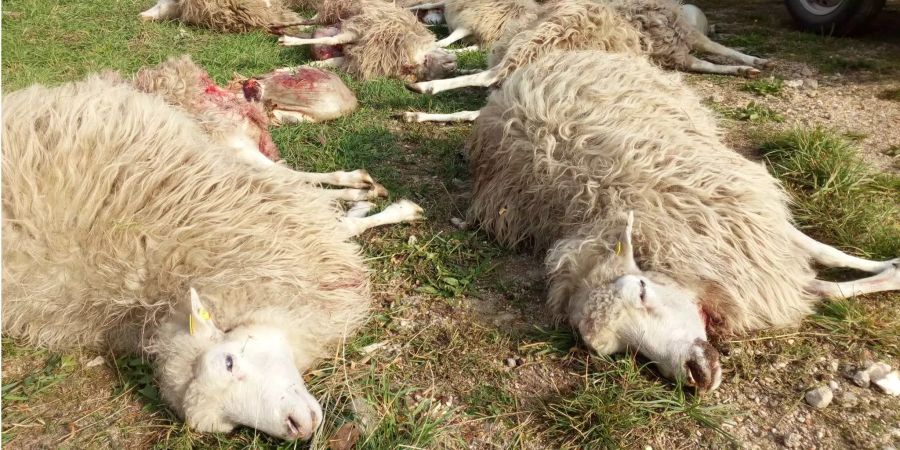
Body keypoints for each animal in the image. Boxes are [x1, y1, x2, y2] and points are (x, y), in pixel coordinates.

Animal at [1, 74, 424, 440]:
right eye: (230, 425)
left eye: (229, 361)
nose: (297, 427)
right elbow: (332, 221)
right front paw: (365, 208)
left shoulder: (263, 214)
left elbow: (328, 213)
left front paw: (387, 207)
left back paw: (358, 186)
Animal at [276, 0, 458, 82]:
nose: (453, 65)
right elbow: (331, 40)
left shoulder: (355, 57)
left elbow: (320, 64)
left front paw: (285, 69)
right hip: (343, 18)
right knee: (316, 26)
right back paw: (281, 31)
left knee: (316, 32)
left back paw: (280, 32)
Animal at [464, 48, 900, 386]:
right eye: (620, 349)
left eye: (642, 290)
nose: (694, 373)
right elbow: (820, 286)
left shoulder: (742, 212)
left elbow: (825, 253)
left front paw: (888, 266)